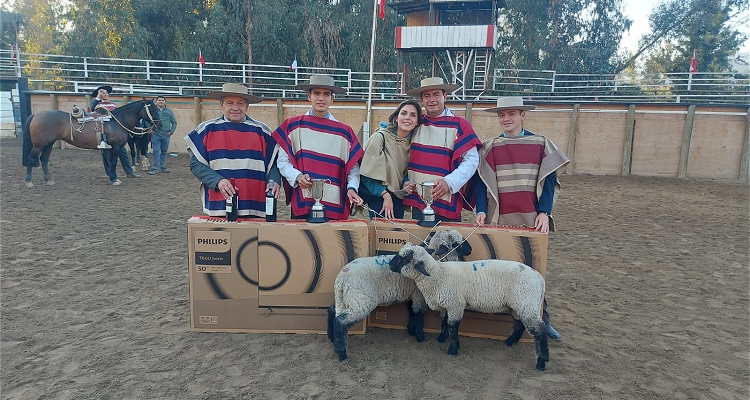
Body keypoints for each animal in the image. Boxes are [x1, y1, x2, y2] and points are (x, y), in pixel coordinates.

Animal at [22, 100, 162, 188]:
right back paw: (29, 182)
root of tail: (35, 115)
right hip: (39, 145)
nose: (159, 125)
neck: (117, 121)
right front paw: (114, 179)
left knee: (44, 159)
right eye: (153, 109)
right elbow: (113, 163)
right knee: (31, 159)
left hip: (49, 144)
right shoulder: (115, 147)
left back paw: (49, 180)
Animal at [328, 228, 470, 362]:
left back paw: (332, 339)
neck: (433, 264)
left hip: (346, 299)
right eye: (457, 244)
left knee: (332, 311)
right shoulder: (419, 295)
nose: (470, 249)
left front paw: (411, 331)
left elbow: (411, 311)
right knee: (340, 322)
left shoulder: (412, 294)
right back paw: (342, 354)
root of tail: (341, 278)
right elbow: (419, 314)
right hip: (360, 301)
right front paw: (420, 337)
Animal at [390, 244, 548, 372]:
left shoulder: (456, 304)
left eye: (403, 258)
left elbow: (453, 326)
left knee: (539, 330)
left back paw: (541, 362)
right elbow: (443, 322)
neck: (437, 275)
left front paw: (452, 349)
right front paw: (441, 338)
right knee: (520, 322)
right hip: (520, 304)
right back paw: (510, 342)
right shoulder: (447, 304)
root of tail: (540, 278)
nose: (390, 266)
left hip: (527, 303)